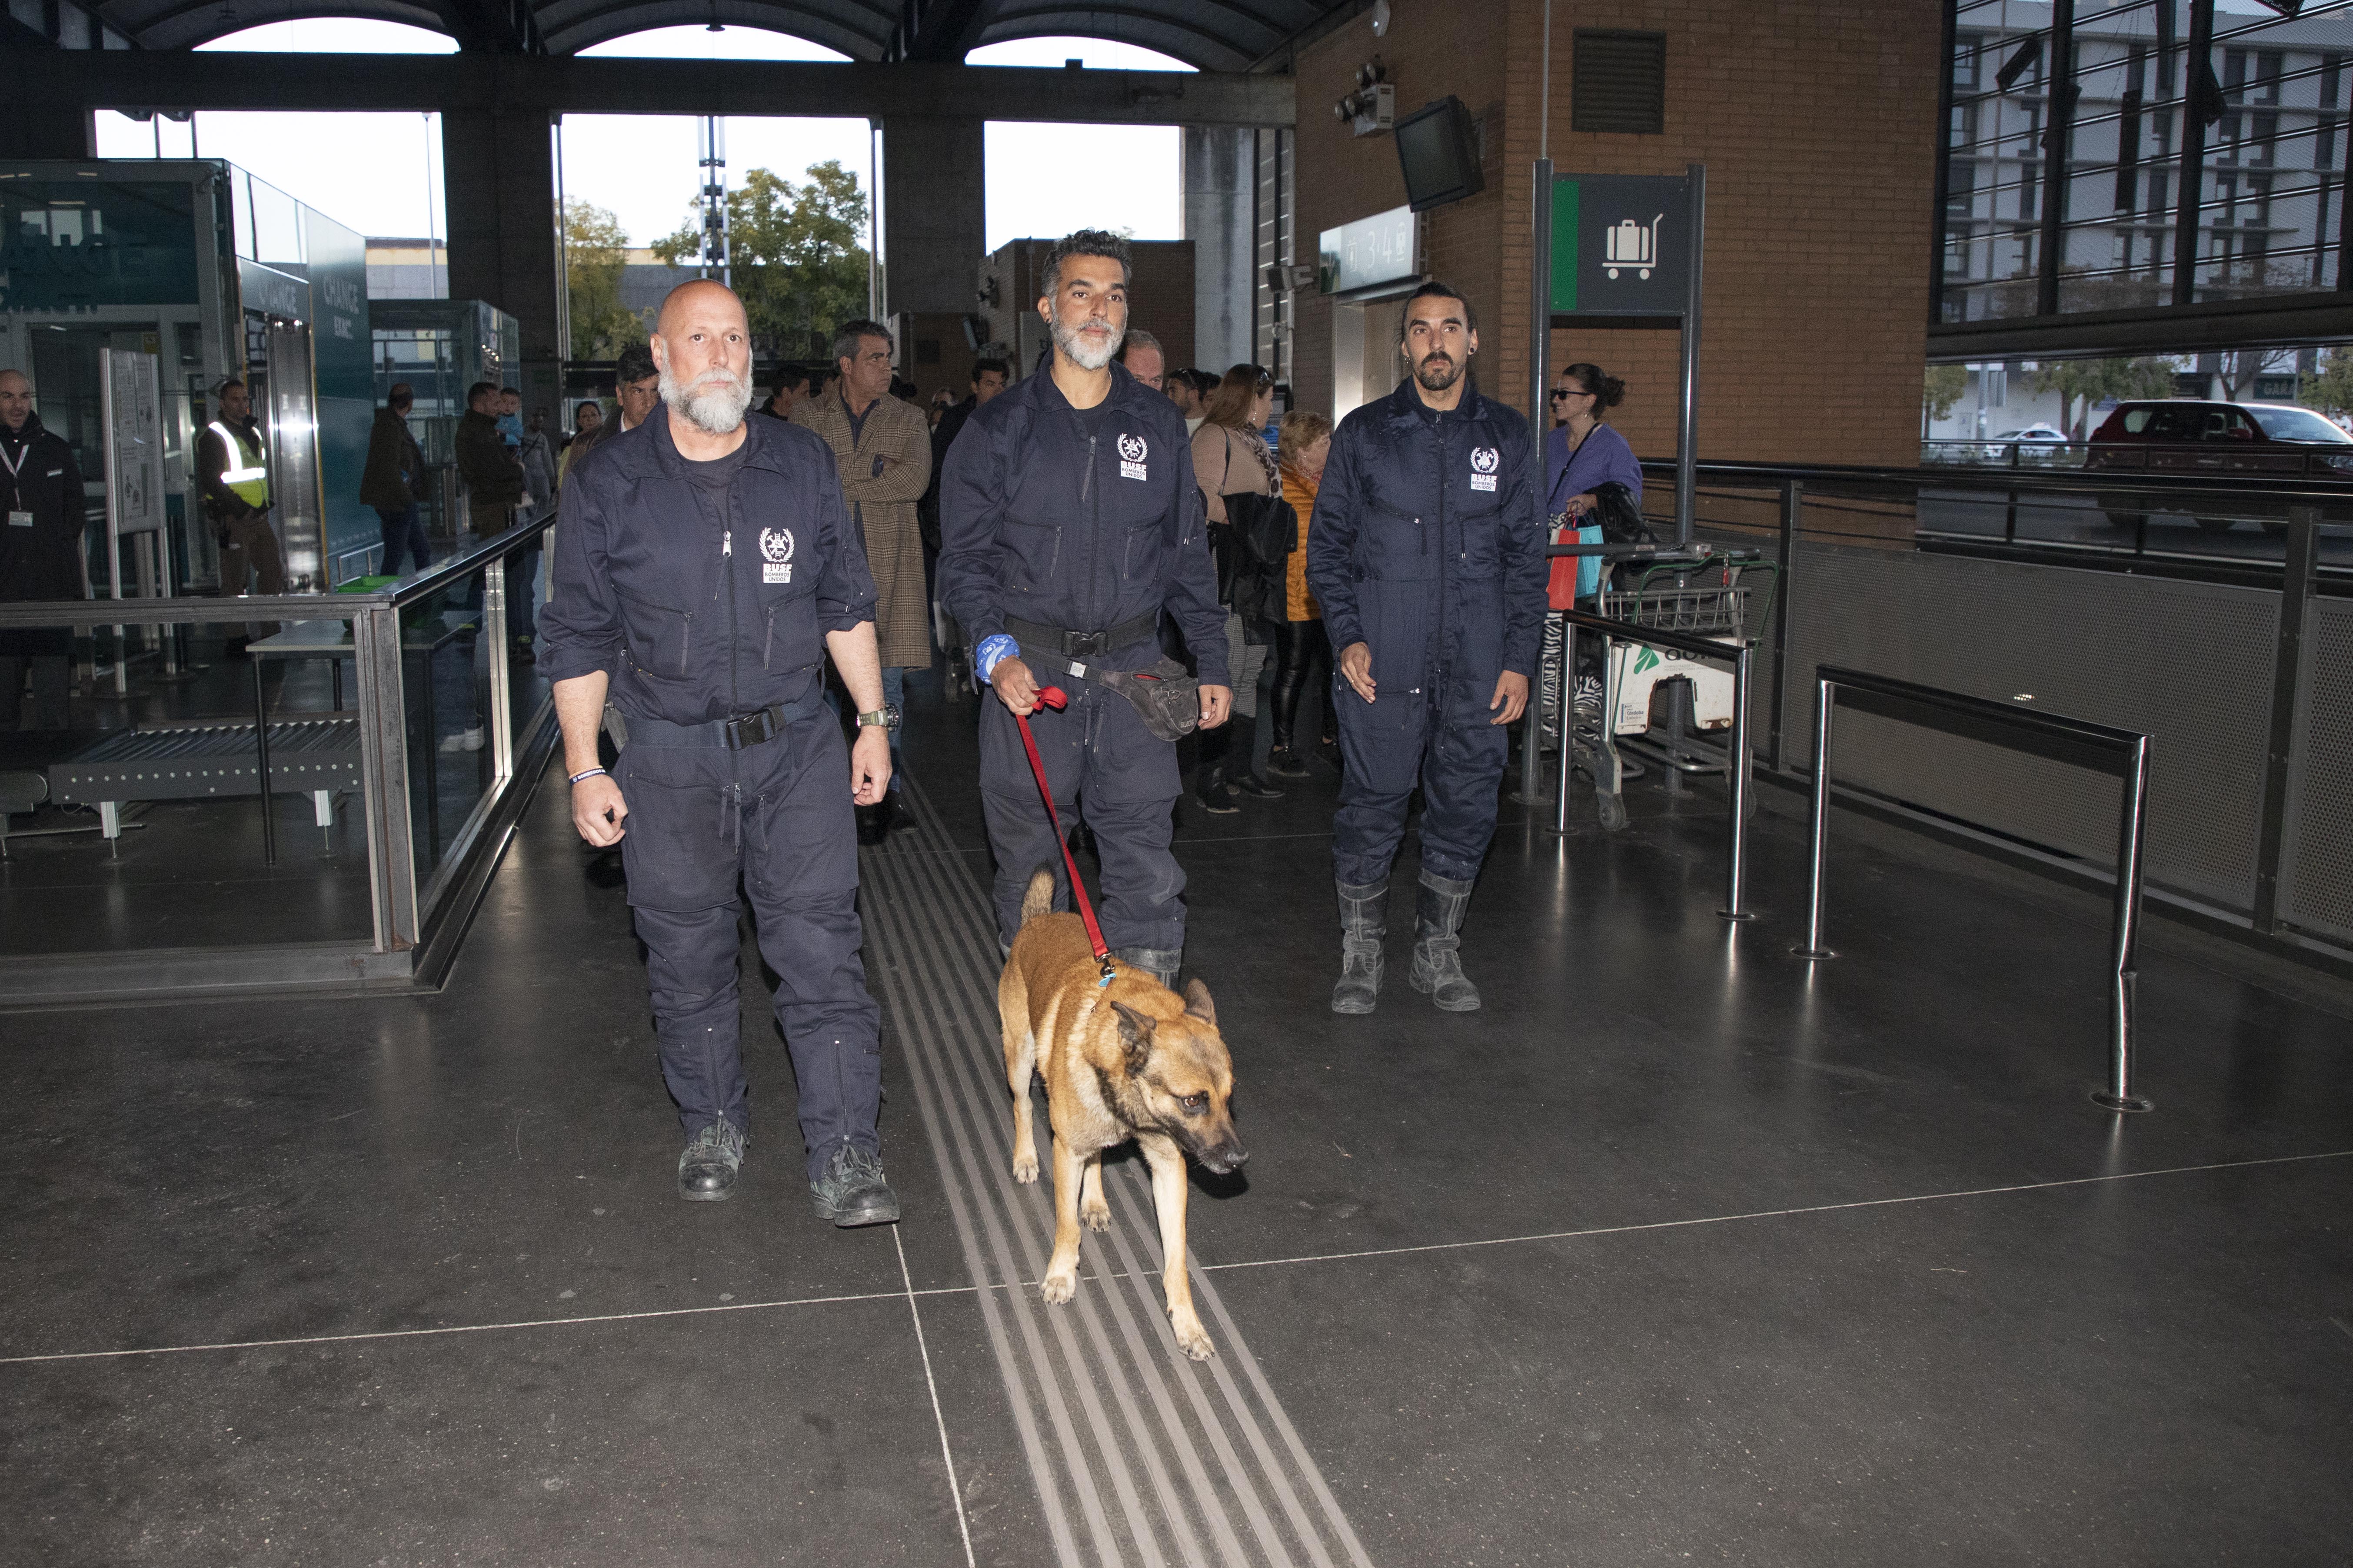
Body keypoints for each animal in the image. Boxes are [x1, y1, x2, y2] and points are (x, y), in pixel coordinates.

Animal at [998, 870, 1251, 1363]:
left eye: (1228, 1099)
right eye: (1192, 1101)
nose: (1238, 1160)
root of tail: (1039, 919)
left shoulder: (1169, 1167)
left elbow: (1176, 1258)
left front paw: (1187, 1322)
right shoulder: (1066, 1149)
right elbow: (1066, 1227)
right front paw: (1062, 1274)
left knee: (1097, 1154)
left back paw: (1095, 1200)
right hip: (1019, 1058)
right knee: (1021, 1106)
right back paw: (1025, 1158)